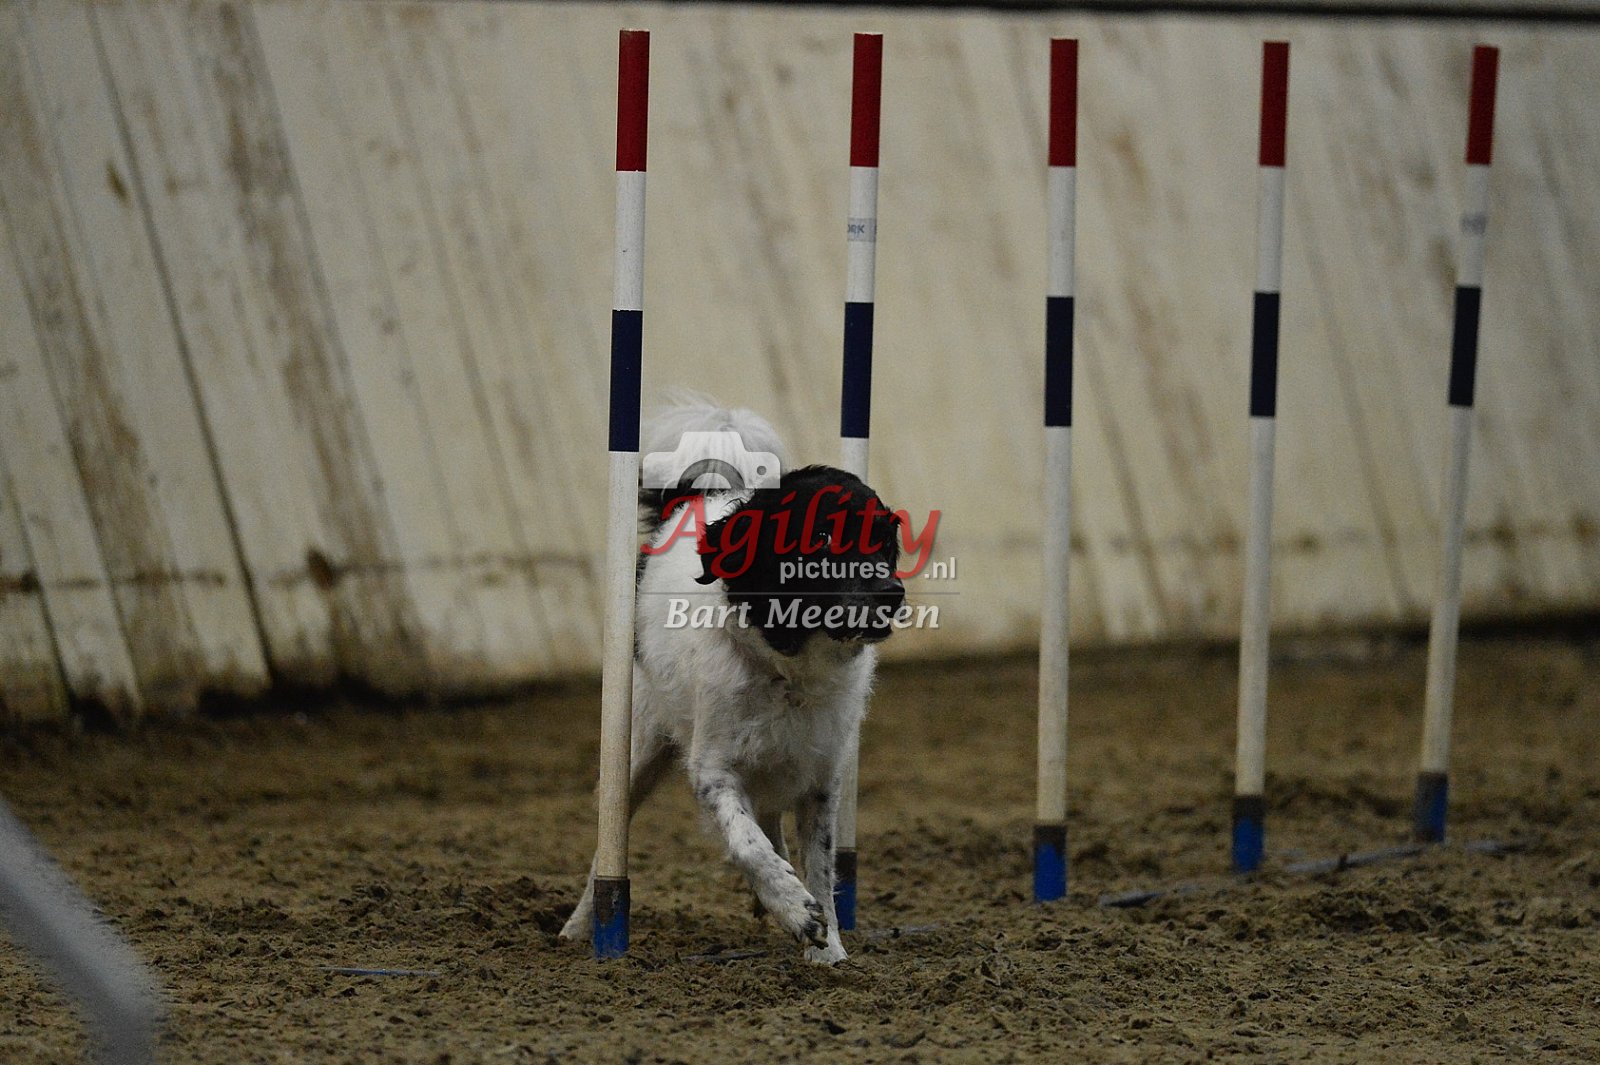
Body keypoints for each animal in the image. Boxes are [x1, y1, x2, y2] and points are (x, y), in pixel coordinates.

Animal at [561, 401, 906, 964]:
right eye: (822, 537)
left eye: (883, 539)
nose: (892, 594)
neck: (789, 671)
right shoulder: (714, 770)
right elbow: (746, 844)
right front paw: (794, 907)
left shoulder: (819, 780)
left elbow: (820, 866)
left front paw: (828, 950)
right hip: (636, 755)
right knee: (607, 847)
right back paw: (578, 928)